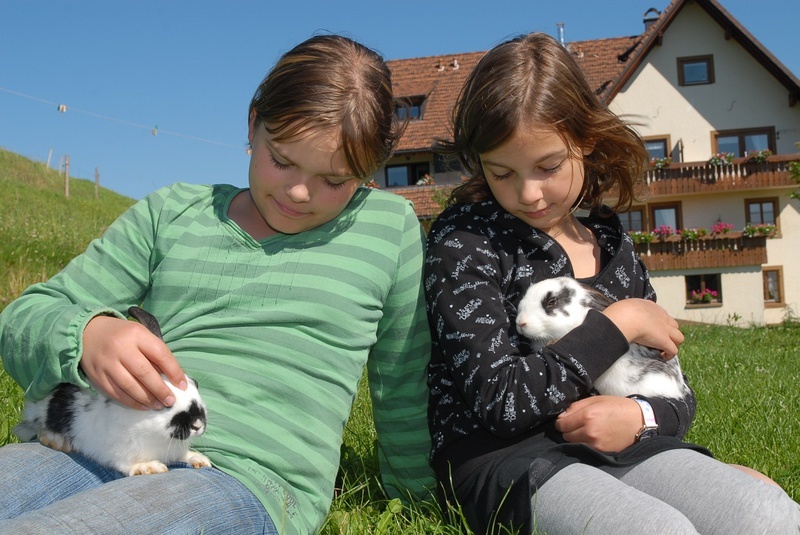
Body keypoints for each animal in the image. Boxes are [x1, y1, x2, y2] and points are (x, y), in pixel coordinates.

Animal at [13, 306, 211, 476]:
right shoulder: (117, 451)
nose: (197, 424)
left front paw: (198, 459)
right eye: (164, 404)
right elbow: (126, 464)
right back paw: (58, 441)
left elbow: (183, 455)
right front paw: (149, 467)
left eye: (195, 383)